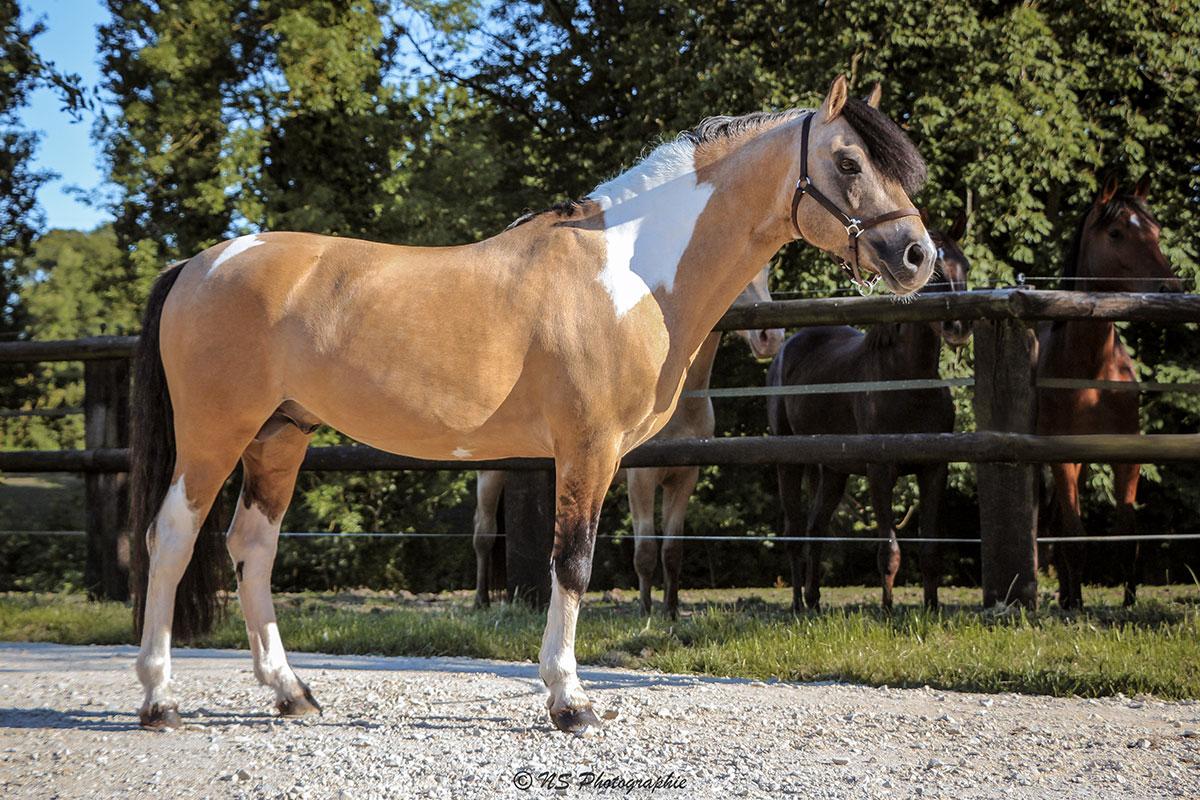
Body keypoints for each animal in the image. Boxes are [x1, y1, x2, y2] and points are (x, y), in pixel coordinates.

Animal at [468, 266, 787, 609]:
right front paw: (645, 609)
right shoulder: (641, 479)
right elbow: (645, 550)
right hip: (491, 472)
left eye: (767, 274)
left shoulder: (685, 477)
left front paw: (670, 610)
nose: (771, 337)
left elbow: (673, 550)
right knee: (483, 532)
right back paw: (481, 600)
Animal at [768, 212, 974, 614]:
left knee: (816, 528)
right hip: (789, 461)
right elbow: (888, 550)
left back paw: (814, 601)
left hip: (834, 470)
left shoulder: (934, 468)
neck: (909, 379)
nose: (960, 325)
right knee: (794, 532)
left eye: (966, 266)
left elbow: (930, 549)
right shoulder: (880, 471)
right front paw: (888, 610)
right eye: (935, 273)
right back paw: (798, 603)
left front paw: (931, 608)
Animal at [1036, 176, 1185, 606]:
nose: (1170, 287)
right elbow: (1074, 535)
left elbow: (1127, 534)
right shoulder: (1062, 457)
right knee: (1054, 526)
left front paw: (1130, 601)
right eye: (1116, 233)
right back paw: (1068, 597)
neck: (1092, 372)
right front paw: (1076, 605)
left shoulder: (1124, 454)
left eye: (1155, 231)